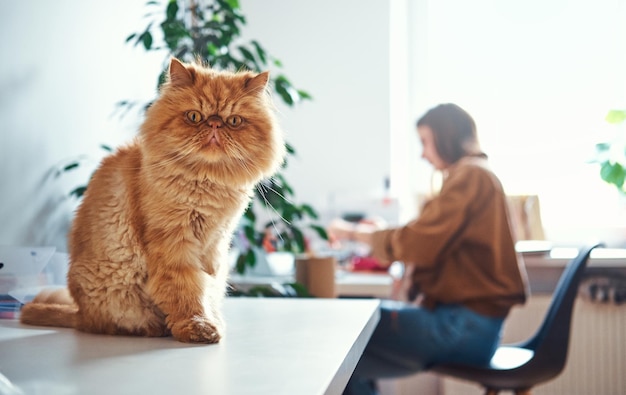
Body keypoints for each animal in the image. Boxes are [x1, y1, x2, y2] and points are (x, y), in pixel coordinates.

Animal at [18, 58, 282, 344]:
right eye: (194, 117)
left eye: (233, 121)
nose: (214, 124)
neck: (206, 182)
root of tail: (81, 315)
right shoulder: (173, 244)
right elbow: (188, 291)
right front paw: (198, 327)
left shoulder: (216, 244)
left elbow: (207, 287)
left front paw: (211, 322)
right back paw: (156, 328)